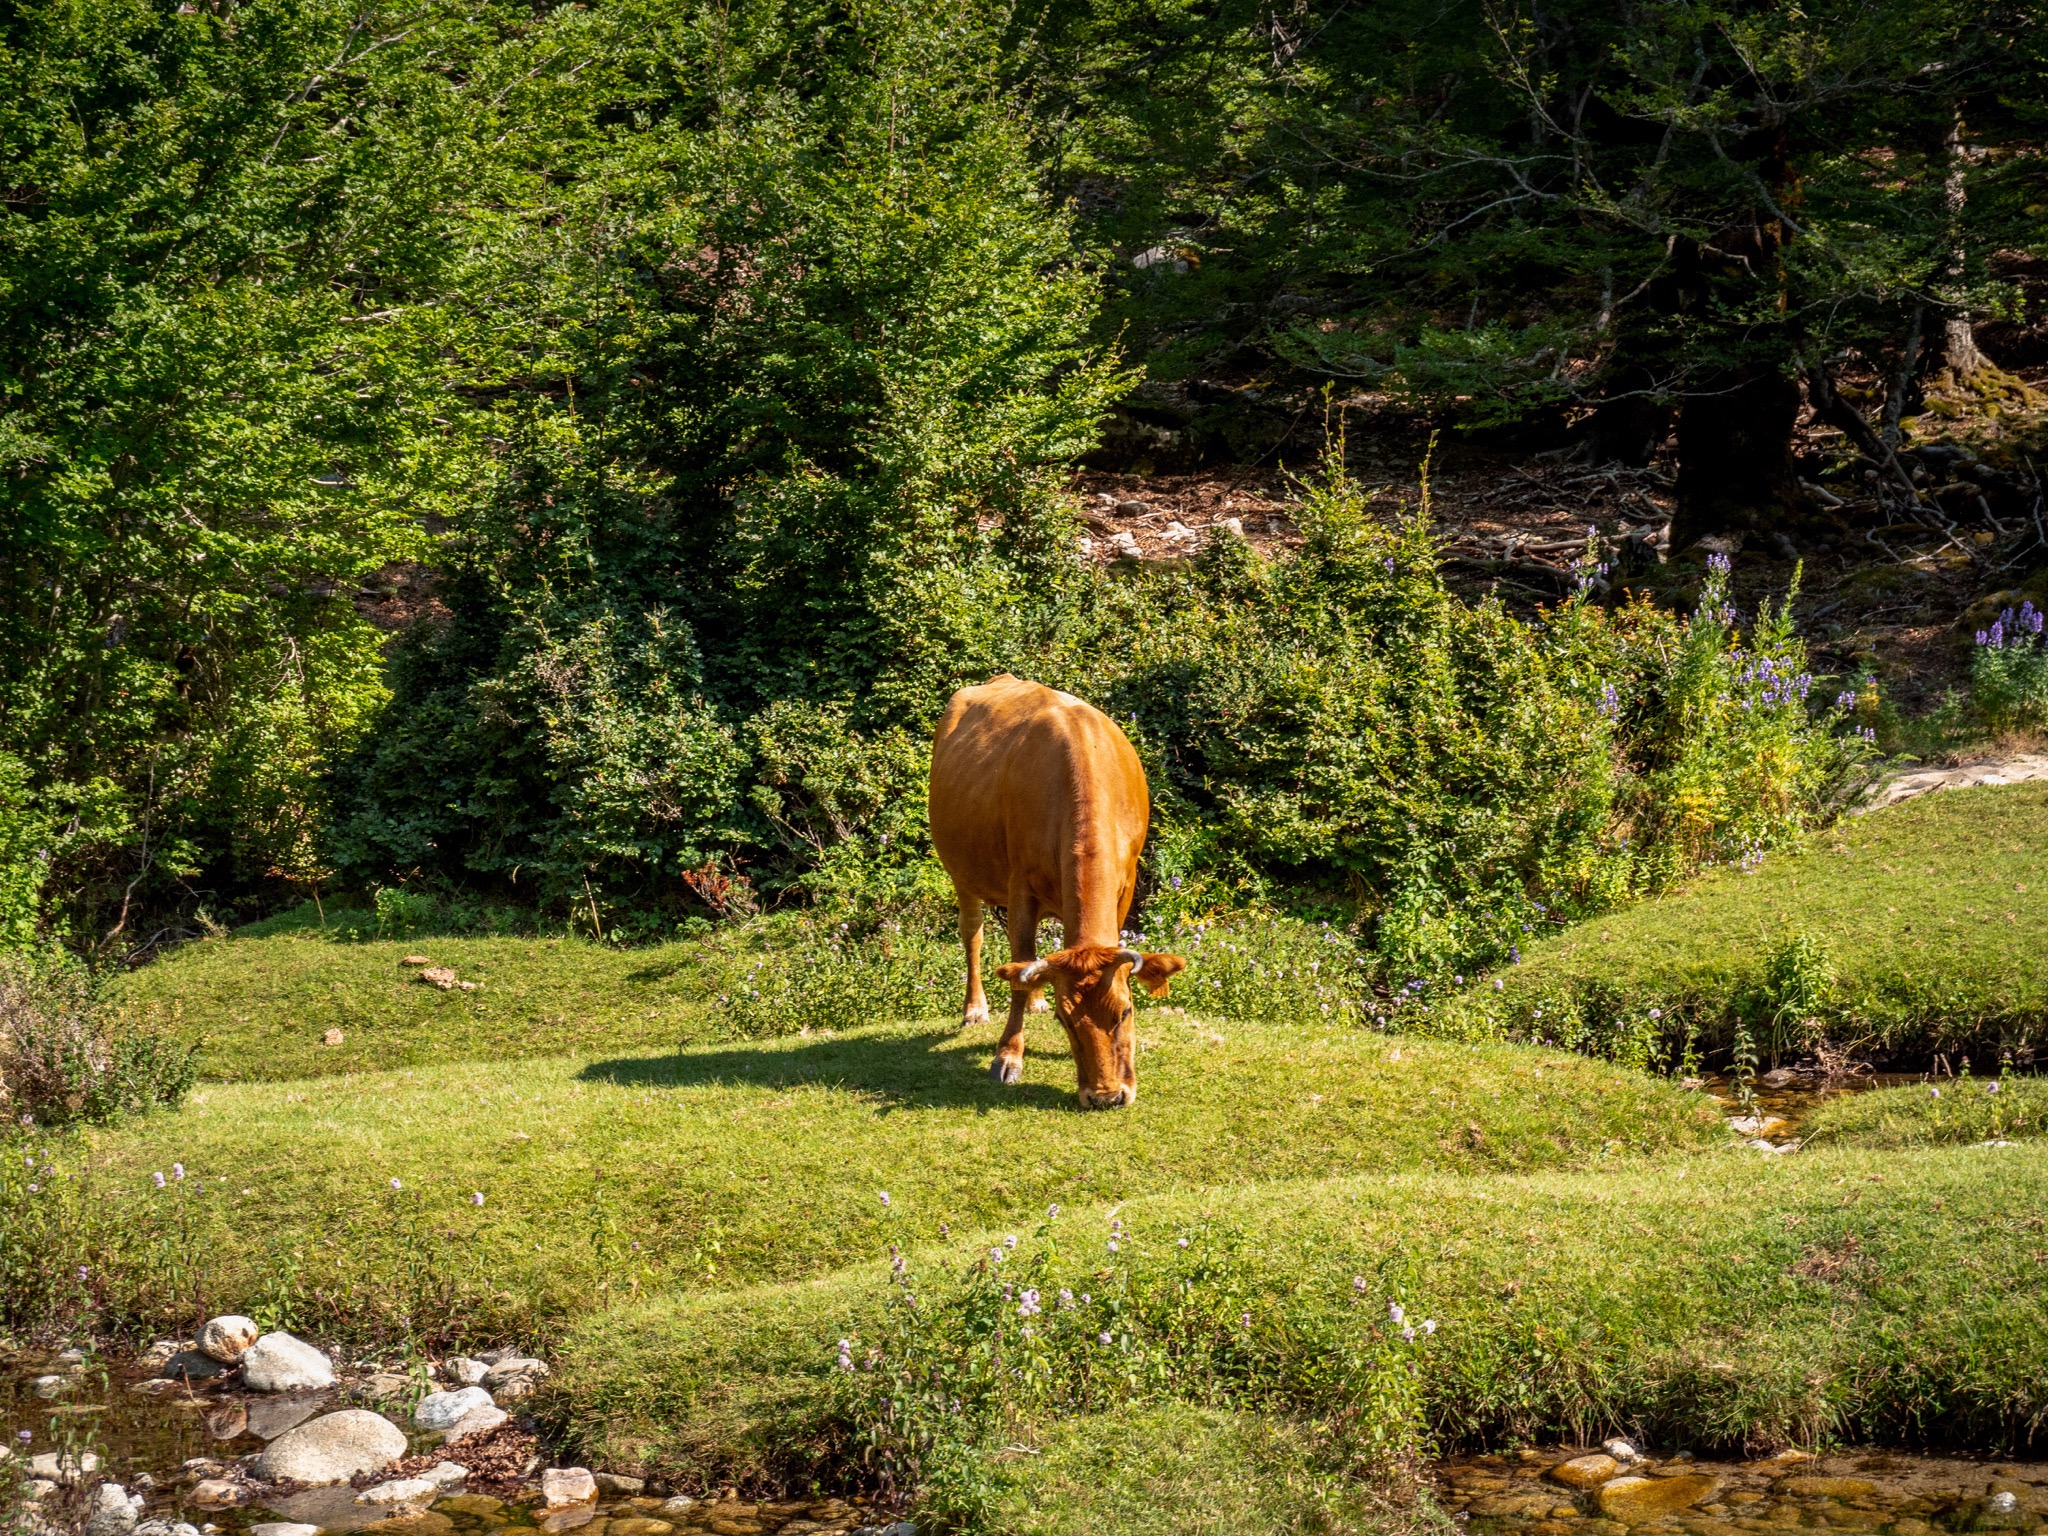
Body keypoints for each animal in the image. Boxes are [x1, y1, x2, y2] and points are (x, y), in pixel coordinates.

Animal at [928, 674, 1186, 1108]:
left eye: (1126, 1011)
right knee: (974, 935)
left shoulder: (1127, 881)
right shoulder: (1020, 888)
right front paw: (1008, 1056)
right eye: (1066, 1020)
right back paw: (975, 1008)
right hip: (961, 872)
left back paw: (1037, 999)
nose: (1106, 1096)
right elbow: (1018, 968)